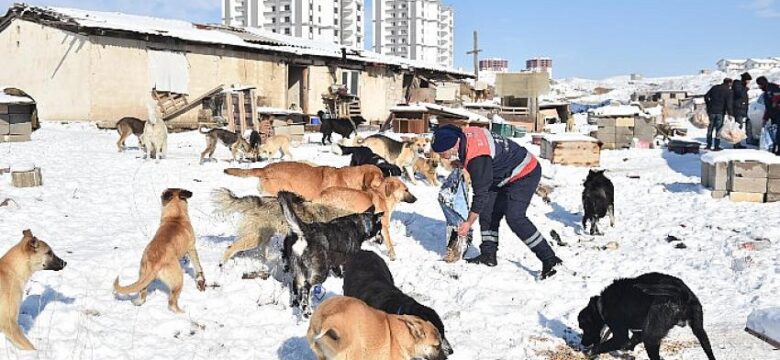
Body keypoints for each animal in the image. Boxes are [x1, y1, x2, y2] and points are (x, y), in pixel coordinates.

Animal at [576, 272, 716, 360]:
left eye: (584, 327)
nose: (582, 343)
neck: (602, 305)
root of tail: (682, 294)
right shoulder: (637, 332)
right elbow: (631, 342)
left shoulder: (620, 334)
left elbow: (602, 346)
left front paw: (590, 352)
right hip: (699, 330)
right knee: (709, 350)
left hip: (651, 339)